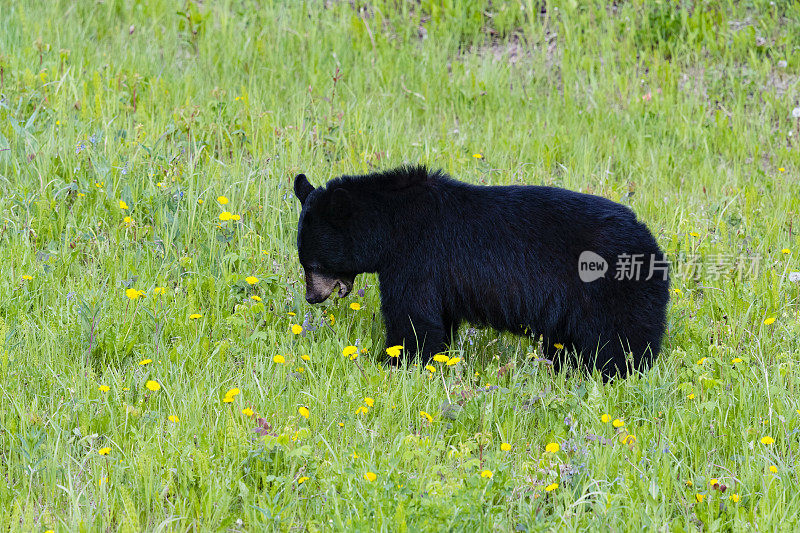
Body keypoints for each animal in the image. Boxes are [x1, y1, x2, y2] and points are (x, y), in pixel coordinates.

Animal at [294, 164, 668, 376]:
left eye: (313, 264)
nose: (312, 297)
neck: (391, 225)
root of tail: (650, 240)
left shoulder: (416, 258)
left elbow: (412, 315)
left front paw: (395, 360)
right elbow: (438, 318)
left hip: (610, 288)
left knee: (621, 337)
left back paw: (617, 372)